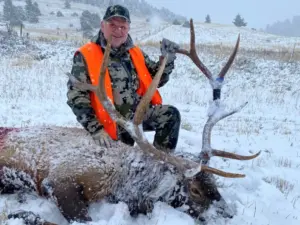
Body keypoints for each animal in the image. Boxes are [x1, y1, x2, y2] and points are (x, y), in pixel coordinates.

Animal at [0, 18, 258, 223]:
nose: (229, 215)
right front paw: (22, 214)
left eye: (214, 181)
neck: (121, 182)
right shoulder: (59, 178)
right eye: (194, 190)